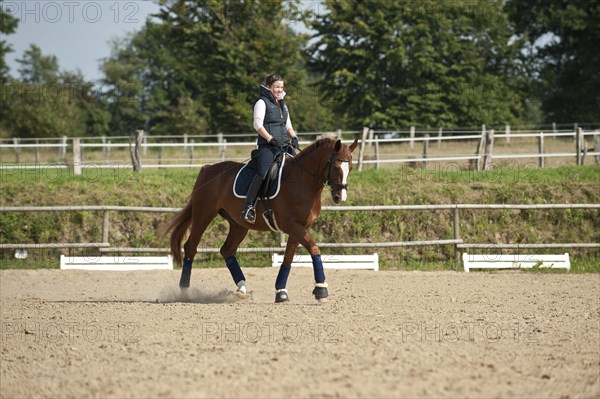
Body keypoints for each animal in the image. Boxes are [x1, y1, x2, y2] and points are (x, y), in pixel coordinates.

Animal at [162, 138, 358, 304]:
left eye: (351, 168)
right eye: (337, 167)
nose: (340, 197)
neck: (303, 182)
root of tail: (207, 168)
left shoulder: (301, 227)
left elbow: (288, 258)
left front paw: (281, 292)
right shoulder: (292, 226)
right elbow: (314, 249)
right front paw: (321, 290)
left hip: (239, 225)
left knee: (227, 250)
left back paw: (241, 289)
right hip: (204, 213)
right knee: (191, 247)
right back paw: (185, 292)